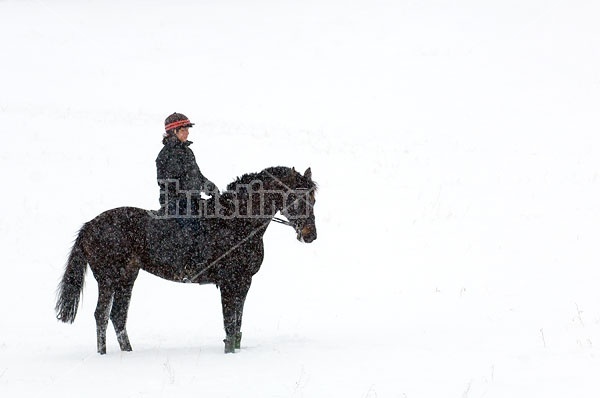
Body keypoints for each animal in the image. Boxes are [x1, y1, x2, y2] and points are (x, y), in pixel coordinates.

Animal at [55, 166, 316, 352]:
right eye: (297, 198)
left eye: (313, 199)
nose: (310, 235)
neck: (237, 222)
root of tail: (90, 225)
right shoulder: (229, 282)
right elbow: (229, 322)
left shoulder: (244, 282)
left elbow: (238, 323)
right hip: (108, 279)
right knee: (101, 315)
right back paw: (104, 355)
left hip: (127, 277)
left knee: (117, 316)